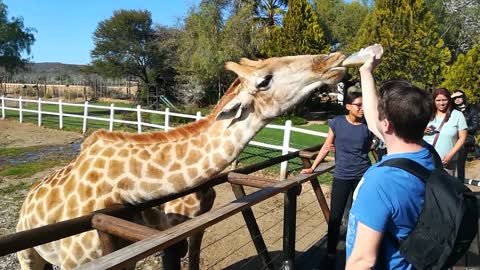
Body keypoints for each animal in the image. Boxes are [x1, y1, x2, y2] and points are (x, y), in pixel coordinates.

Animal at [14, 51, 344, 268]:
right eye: (264, 81)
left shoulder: (187, 229)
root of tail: (27, 202)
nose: (334, 60)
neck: (121, 188)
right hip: (29, 255)